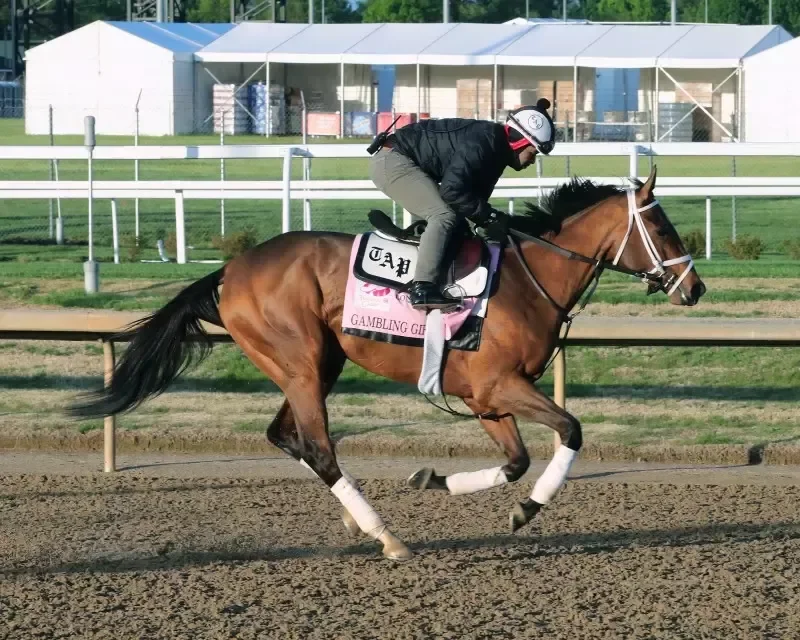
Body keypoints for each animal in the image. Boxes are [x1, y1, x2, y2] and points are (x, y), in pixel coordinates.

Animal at [70, 169, 708, 560]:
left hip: (315, 366)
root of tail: (230, 269)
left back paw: (356, 519)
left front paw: (434, 479)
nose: (695, 288)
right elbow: (569, 431)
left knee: (287, 437)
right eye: (660, 226)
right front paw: (527, 510)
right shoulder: (500, 385)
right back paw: (386, 535)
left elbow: (516, 461)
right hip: (302, 366)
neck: (530, 281)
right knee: (318, 448)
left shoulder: (484, 397)